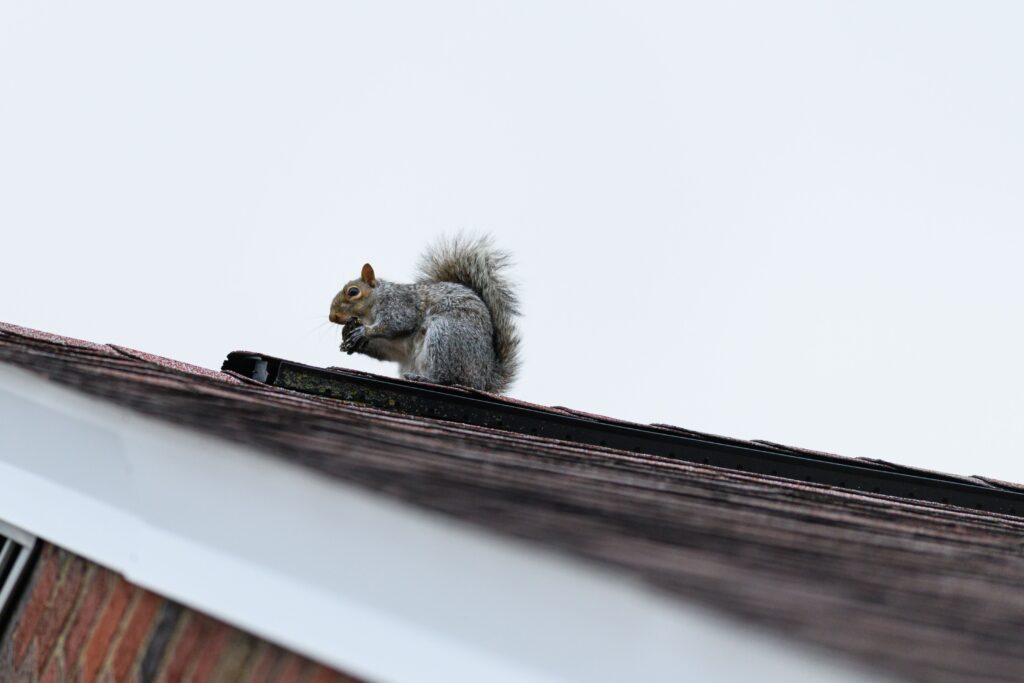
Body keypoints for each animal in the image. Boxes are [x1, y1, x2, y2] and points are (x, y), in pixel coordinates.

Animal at [328, 234, 521, 393]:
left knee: (448, 379)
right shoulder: (395, 347)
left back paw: (425, 378)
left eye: (353, 292)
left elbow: (396, 323)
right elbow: (387, 349)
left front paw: (362, 332)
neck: (371, 309)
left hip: (445, 336)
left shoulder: (400, 305)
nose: (332, 317)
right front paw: (349, 339)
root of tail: (483, 379)